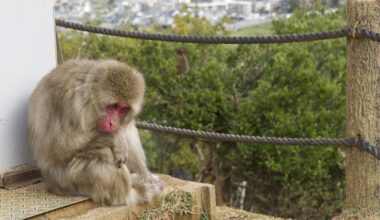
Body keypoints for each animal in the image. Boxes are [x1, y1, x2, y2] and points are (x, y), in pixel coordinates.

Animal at [26, 59, 163, 205]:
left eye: (123, 109)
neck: (92, 96)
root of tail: (51, 184)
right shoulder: (75, 104)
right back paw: (128, 196)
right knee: (103, 152)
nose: (112, 122)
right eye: (113, 106)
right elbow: (61, 146)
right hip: (68, 179)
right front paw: (116, 139)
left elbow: (126, 130)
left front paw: (146, 176)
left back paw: (139, 178)